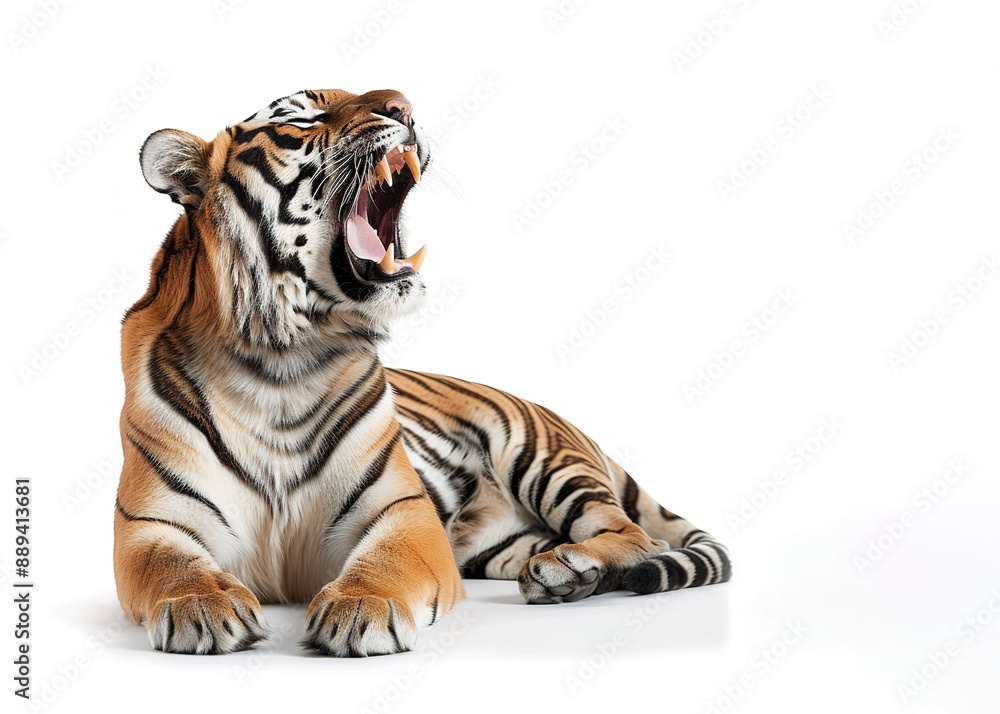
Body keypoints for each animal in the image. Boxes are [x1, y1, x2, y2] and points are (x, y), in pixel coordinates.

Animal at [114, 88, 732, 657]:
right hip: (496, 542)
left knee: (634, 536)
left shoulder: (404, 510)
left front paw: (360, 608)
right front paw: (201, 605)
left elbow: (388, 561)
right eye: (303, 117)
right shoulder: (150, 524)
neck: (281, 365)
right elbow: (172, 566)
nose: (404, 106)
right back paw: (567, 575)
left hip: (544, 459)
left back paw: (568, 565)